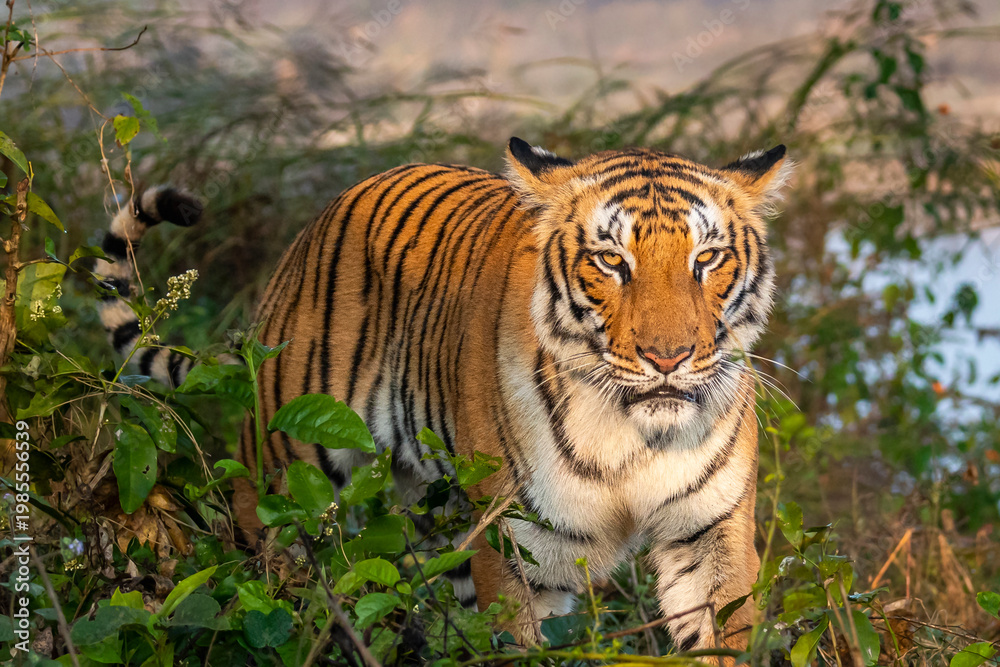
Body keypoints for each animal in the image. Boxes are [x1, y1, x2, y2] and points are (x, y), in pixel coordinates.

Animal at [95, 137, 790, 653]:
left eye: (708, 258)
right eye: (611, 261)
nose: (668, 358)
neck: (629, 430)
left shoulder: (710, 531)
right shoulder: (518, 547)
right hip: (280, 485)